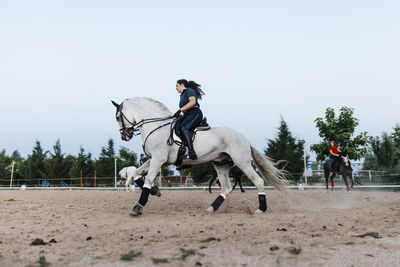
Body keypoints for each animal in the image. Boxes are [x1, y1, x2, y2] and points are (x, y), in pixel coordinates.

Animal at [112, 97, 288, 217]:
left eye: (117, 117)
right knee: (226, 188)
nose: (124, 136)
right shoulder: (154, 159)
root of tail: (243, 138)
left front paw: (138, 207)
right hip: (221, 165)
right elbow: (136, 174)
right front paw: (155, 191)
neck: (156, 126)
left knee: (257, 181)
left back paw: (261, 209)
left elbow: (147, 180)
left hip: (242, 162)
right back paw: (211, 208)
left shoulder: (158, 159)